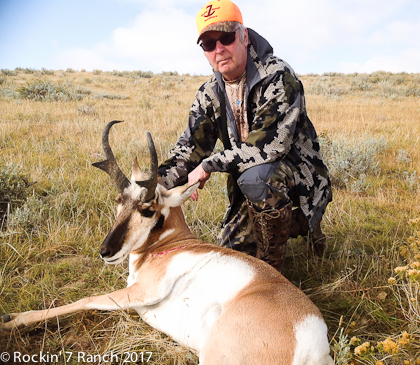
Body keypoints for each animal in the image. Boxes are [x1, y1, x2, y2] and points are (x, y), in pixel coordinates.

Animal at [0, 121, 334, 364]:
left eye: (148, 209)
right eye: (119, 200)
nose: (106, 251)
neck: (174, 244)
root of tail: (312, 341)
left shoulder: (143, 291)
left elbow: (85, 299)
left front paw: (11, 319)